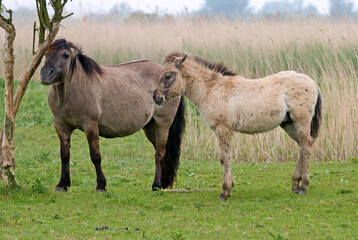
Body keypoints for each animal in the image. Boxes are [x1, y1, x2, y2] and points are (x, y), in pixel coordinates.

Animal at [39, 39, 185, 193]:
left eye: (65, 55)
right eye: (45, 53)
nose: (45, 74)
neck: (71, 93)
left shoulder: (90, 126)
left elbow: (95, 156)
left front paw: (101, 185)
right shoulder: (61, 127)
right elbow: (65, 155)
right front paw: (62, 184)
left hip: (162, 125)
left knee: (160, 154)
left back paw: (156, 185)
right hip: (151, 127)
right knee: (161, 152)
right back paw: (162, 183)